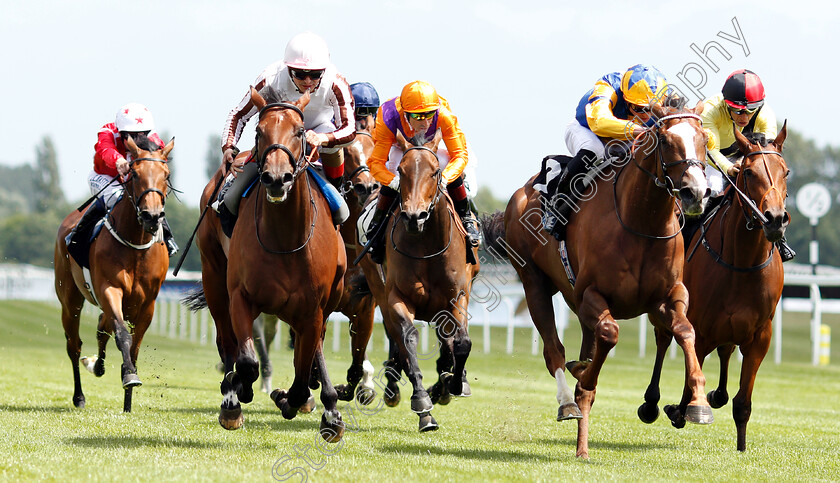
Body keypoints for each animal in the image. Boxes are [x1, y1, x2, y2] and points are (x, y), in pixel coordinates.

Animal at [54, 135, 174, 412]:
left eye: (166, 174)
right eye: (134, 174)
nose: (152, 216)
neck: (135, 243)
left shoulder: (147, 303)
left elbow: (135, 346)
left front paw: (128, 401)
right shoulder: (110, 289)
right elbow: (122, 335)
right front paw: (129, 376)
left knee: (101, 328)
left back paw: (98, 367)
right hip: (70, 299)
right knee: (74, 345)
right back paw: (79, 396)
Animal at [196, 87, 344, 442]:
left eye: (300, 132)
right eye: (259, 132)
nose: (277, 178)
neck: (285, 240)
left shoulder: (313, 310)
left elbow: (303, 374)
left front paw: (292, 399)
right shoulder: (240, 296)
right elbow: (247, 360)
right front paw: (238, 395)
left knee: (313, 350)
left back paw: (327, 406)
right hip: (213, 278)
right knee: (227, 343)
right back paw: (233, 392)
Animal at [374, 134, 480, 432]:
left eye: (434, 172)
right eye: (401, 171)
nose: (414, 216)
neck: (425, 246)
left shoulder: (457, 295)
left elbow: (462, 343)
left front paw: (453, 382)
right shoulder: (396, 297)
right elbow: (408, 339)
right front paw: (422, 402)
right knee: (398, 341)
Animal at [486, 104, 716, 460]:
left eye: (704, 138)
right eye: (665, 140)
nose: (696, 192)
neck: (641, 223)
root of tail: (520, 194)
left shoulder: (668, 296)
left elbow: (685, 330)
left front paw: (698, 403)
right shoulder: (590, 295)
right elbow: (609, 334)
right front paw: (582, 374)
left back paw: (582, 447)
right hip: (534, 283)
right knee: (553, 350)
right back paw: (567, 403)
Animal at [640, 123, 792, 452]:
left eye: (785, 171)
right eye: (748, 172)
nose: (775, 219)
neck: (742, 263)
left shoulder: (760, 337)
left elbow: (742, 402)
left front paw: (742, 447)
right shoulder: (700, 329)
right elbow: (689, 374)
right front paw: (680, 409)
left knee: (725, 353)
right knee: (663, 341)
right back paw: (652, 403)